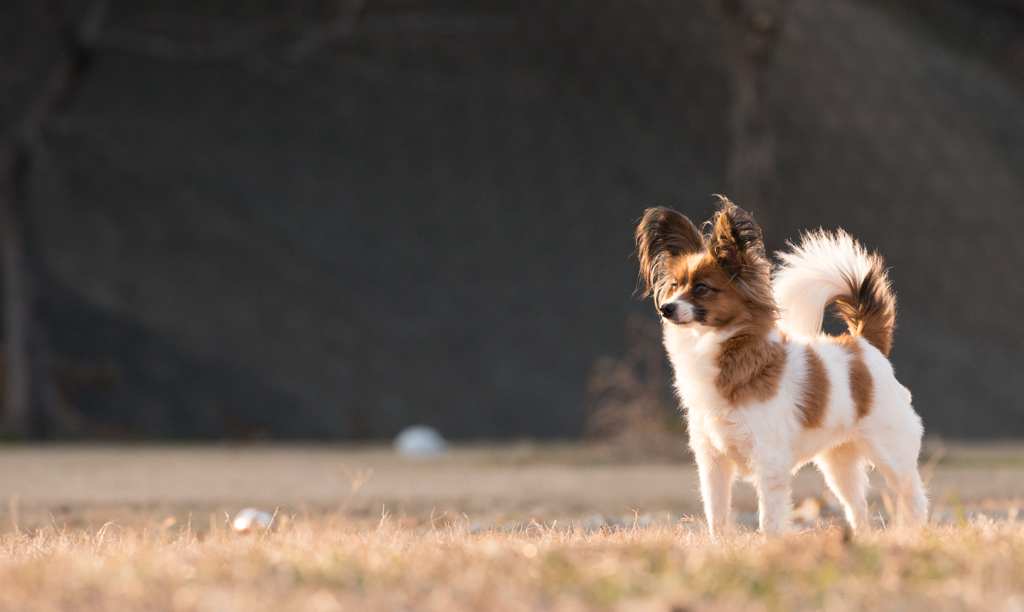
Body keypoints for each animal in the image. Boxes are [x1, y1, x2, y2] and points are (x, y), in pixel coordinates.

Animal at [634, 199, 925, 536]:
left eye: (702, 289)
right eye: (675, 285)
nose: (665, 308)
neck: (727, 352)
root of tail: (865, 343)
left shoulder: (769, 459)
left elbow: (769, 518)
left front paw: (770, 543)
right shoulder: (712, 460)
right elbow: (716, 514)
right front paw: (719, 544)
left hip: (891, 452)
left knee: (914, 497)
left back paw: (915, 534)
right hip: (837, 463)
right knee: (859, 506)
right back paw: (861, 538)